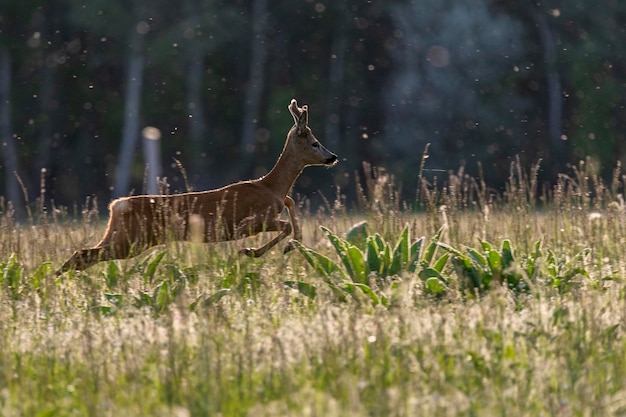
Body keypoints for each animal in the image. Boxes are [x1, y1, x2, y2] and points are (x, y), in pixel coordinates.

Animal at [58, 97, 336, 272]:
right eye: (315, 143)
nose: (332, 157)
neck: (271, 187)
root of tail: (117, 205)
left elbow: (292, 210)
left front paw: (290, 246)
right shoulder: (252, 220)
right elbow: (285, 225)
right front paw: (251, 251)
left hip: (121, 236)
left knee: (84, 255)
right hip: (131, 240)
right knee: (84, 255)